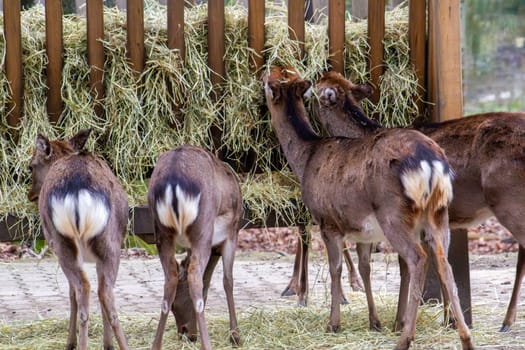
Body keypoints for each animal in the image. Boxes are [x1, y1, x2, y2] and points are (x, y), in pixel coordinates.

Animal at [27, 129, 129, 350]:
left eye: (31, 166)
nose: (30, 195)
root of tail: (78, 191)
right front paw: (107, 344)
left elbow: (71, 293)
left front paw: (70, 342)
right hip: (109, 243)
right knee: (105, 293)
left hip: (61, 241)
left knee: (83, 289)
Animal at [147, 144, 242, 350]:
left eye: (176, 304)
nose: (185, 333)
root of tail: (173, 182)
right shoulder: (232, 232)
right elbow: (227, 280)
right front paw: (235, 336)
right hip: (202, 230)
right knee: (195, 278)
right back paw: (208, 345)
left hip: (161, 233)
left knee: (171, 278)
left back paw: (156, 345)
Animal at [264, 66, 472, 350]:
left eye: (268, 80)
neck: (307, 159)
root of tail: (430, 163)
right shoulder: (364, 232)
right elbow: (365, 268)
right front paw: (375, 322)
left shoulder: (327, 222)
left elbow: (335, 269)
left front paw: (334, 324)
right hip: (439, 214)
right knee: (444, 262)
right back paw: (465, 337)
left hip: (393, 214)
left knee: (417, 259)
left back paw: (405, 338)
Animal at [314, 69, 524, 332]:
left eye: (316, 87)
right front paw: (449, 319)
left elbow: (407, 266)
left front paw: (399, 321)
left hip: (507, 198)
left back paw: (507, 321)